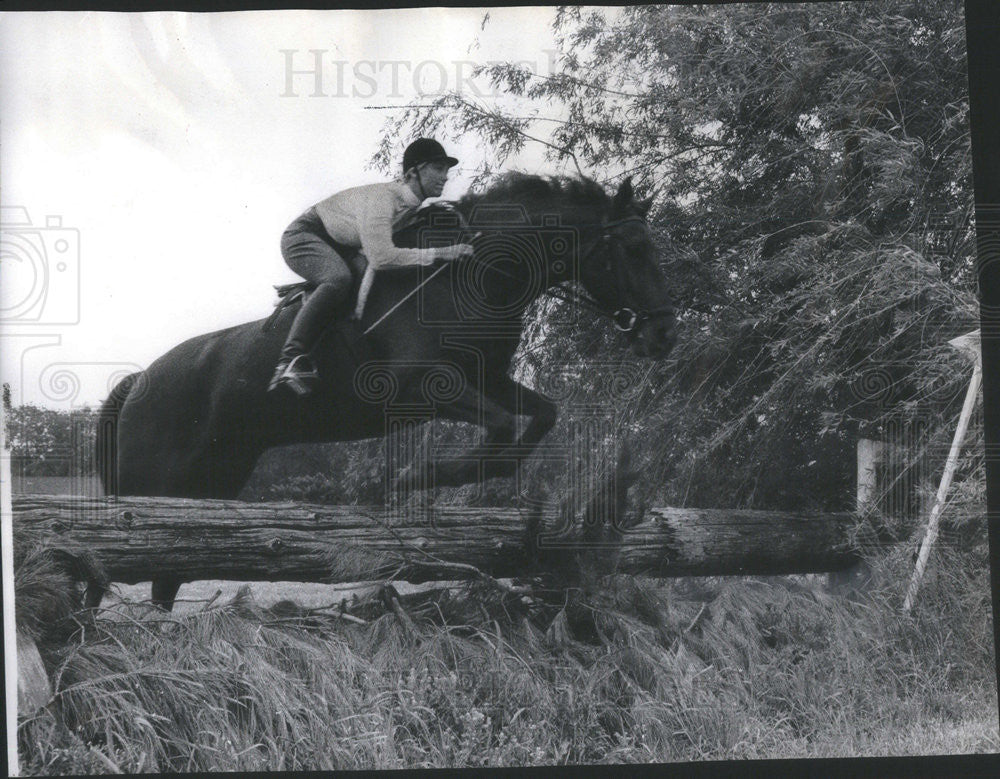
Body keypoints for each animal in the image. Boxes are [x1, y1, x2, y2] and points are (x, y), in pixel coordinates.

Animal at [97, 172, 676, 608]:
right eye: (632, 249)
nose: (664, 335)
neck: (474, 273)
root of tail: (137, 382)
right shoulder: (421, 386)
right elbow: (502, 426)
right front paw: (414, 477)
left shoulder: (487, 379)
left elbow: (540, 416)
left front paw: (476, 485)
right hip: (152, 485)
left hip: (212, 480)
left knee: (166, 574)